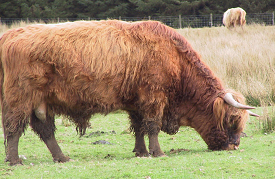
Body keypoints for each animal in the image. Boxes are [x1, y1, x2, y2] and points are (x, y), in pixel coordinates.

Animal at [0, 19, 258, 165]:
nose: (233, 146)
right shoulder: (154, 97)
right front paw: (158, 152)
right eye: (232, 120)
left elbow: (139, 127)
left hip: (40, 103)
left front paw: (141, 152)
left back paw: (61, 157)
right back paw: (14, 160)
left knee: (44, 130)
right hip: (20, 97)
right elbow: (152, 126)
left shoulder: (137, 102)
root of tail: (9, 36)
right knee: (13, 128)